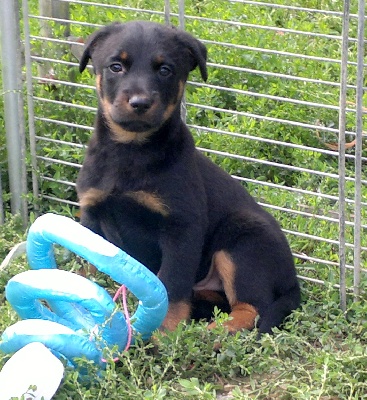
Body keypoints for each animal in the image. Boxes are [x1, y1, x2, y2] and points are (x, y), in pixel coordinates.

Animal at [76, 21, 300, 334]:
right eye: (115, 67)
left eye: (165, 70)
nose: (140, 102)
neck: (131, 150)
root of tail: (293, 283)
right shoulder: (92, 215)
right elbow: (89, 268)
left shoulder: (181, 228)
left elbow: (171, 284)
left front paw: (164, 332)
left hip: (242, 242)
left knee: (252, 308)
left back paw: (215, 333)